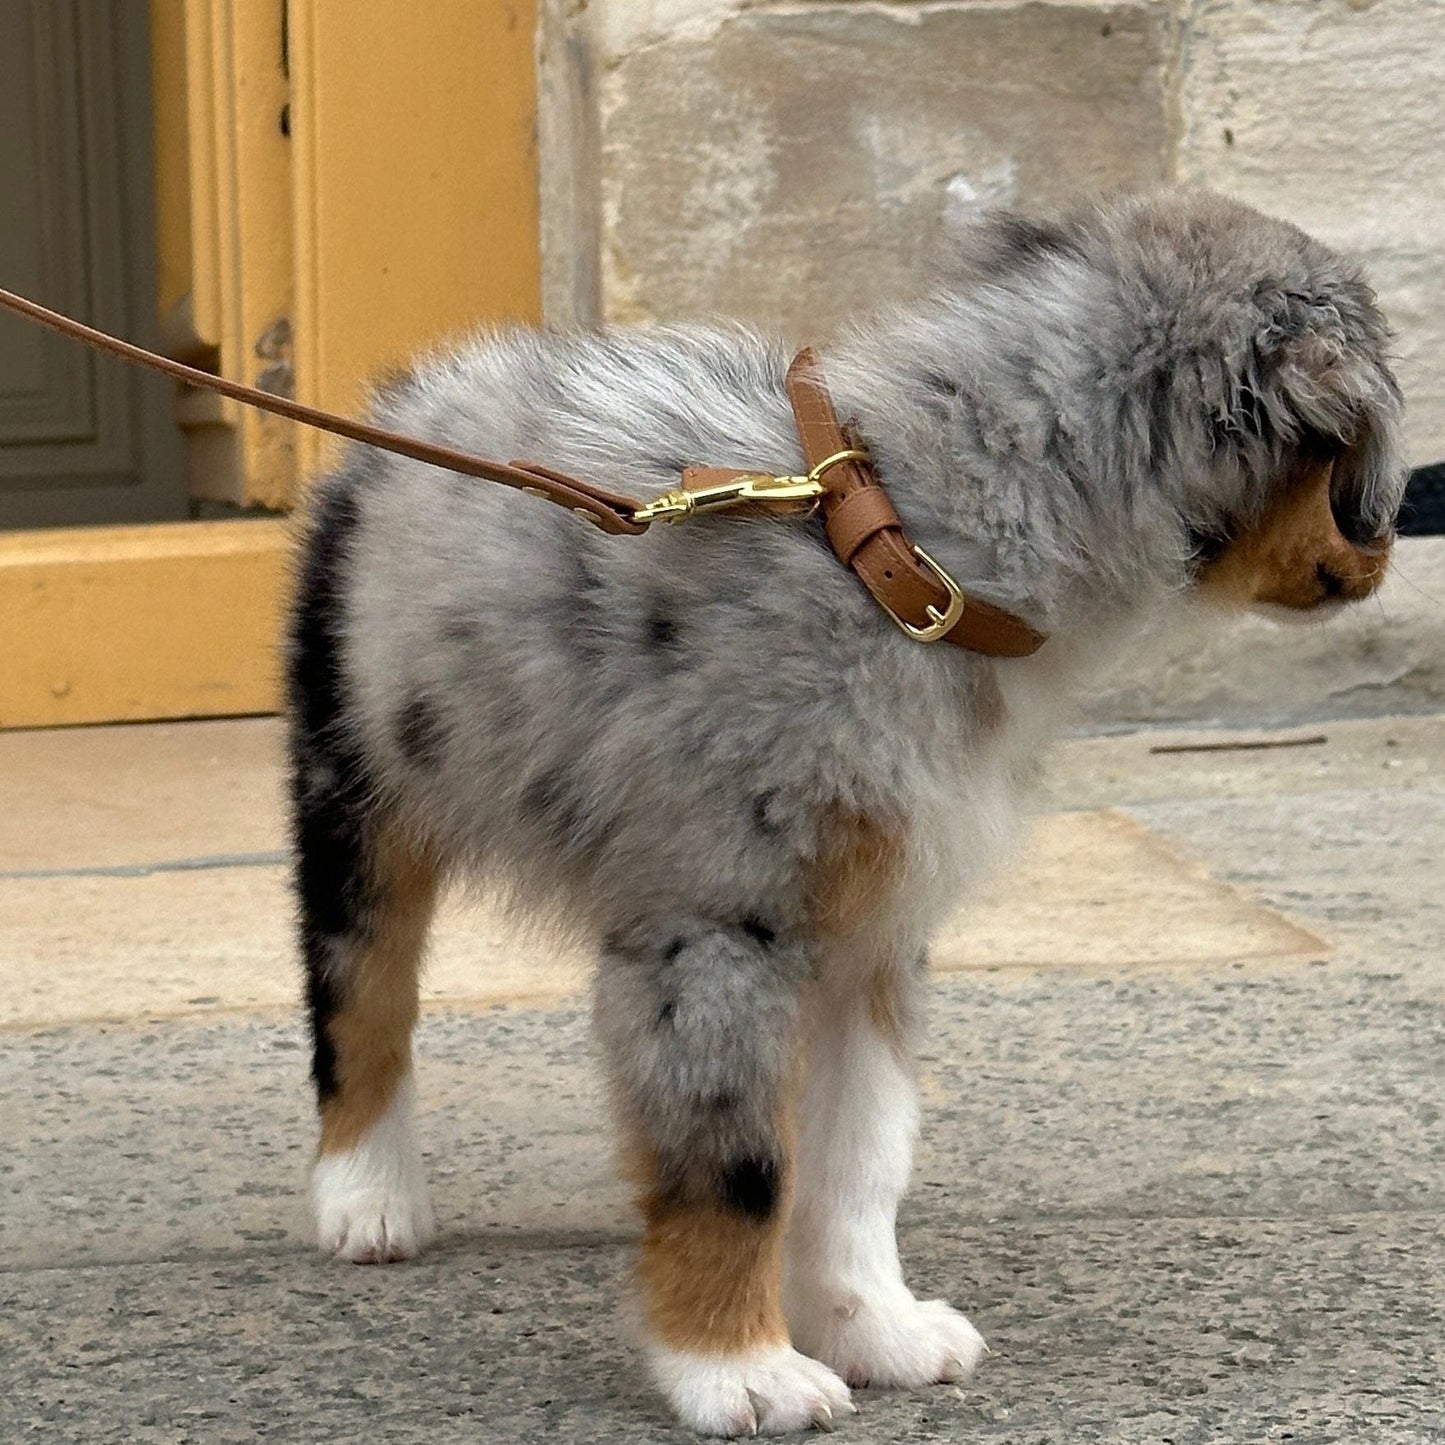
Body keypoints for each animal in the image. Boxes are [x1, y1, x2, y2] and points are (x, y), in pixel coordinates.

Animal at [281, 189, 1398, 1433]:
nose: (1390, 542)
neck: (906, 551)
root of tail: (429, 385)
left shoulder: (875, 929)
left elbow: (860, 1155)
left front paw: (874, 1327)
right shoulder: (718, 925)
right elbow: (737, 1169)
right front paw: (736, 1368)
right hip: (356, 777)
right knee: (361, 994)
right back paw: (368, 1193)